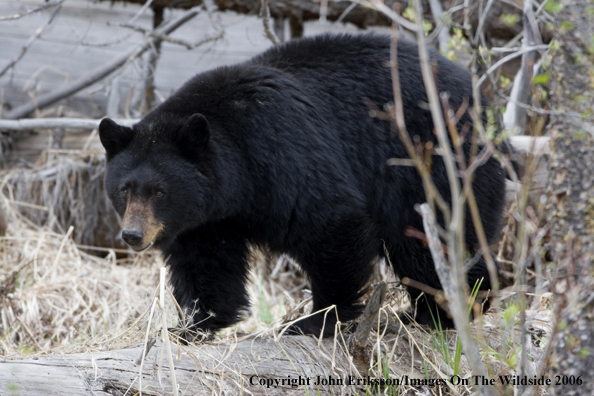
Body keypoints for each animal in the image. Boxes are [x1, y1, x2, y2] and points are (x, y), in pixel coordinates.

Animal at [98, 33, 504, 338]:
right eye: (124, 189)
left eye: (159, 191)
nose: (132, 235)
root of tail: (479, 93)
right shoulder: (206, 215)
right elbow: (206, 261)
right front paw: (192, 325)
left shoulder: (281, 152)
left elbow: (331, 222)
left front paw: (313, 321)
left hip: (435, 160)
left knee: (434, 238)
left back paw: (448, 310)